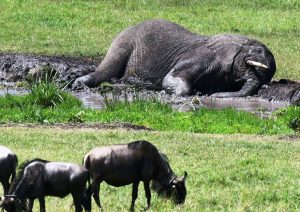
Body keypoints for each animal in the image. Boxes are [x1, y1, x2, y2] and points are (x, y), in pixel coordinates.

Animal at [73, 19, 276, 97]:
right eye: (257, 52)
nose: (215, 96)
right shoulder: (201, 58)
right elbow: (172, 78)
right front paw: (190, 94)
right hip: (123, 44)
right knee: (106, 72)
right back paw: (79, 85)